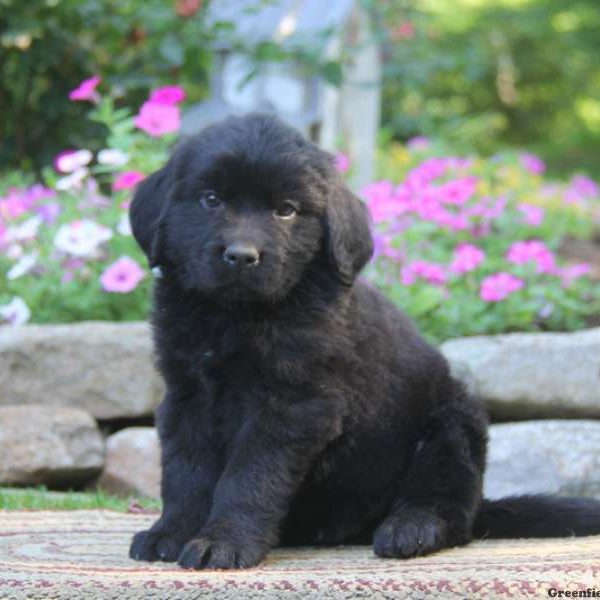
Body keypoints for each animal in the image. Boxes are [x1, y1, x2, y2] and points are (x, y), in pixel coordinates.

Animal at [129, 113, 600, 572]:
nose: (241, 255)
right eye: (211, 200)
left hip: (452, 423)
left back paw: (410, 528)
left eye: (286, 211)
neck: (235, 317)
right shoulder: (187, 394)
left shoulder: (292, 404)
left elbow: (249, 476)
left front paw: (224, 541)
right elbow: (186, 472)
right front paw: (170, 533)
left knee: (450, 508)